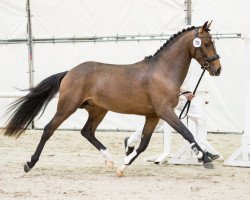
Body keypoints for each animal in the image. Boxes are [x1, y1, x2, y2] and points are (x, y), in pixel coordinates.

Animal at [1, 20, 221, 177]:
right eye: (207, 43)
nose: (218, 69)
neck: (163, 72)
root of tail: (70, 72)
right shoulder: (165, 112)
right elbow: (187, 133)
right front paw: (205, 159)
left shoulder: (153, 116)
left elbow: (143, 144)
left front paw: (123, 167)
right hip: (67, 107)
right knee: (49, 130)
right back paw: (29, 163)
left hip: (98, 109)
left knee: (87, 132)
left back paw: (109, 159)